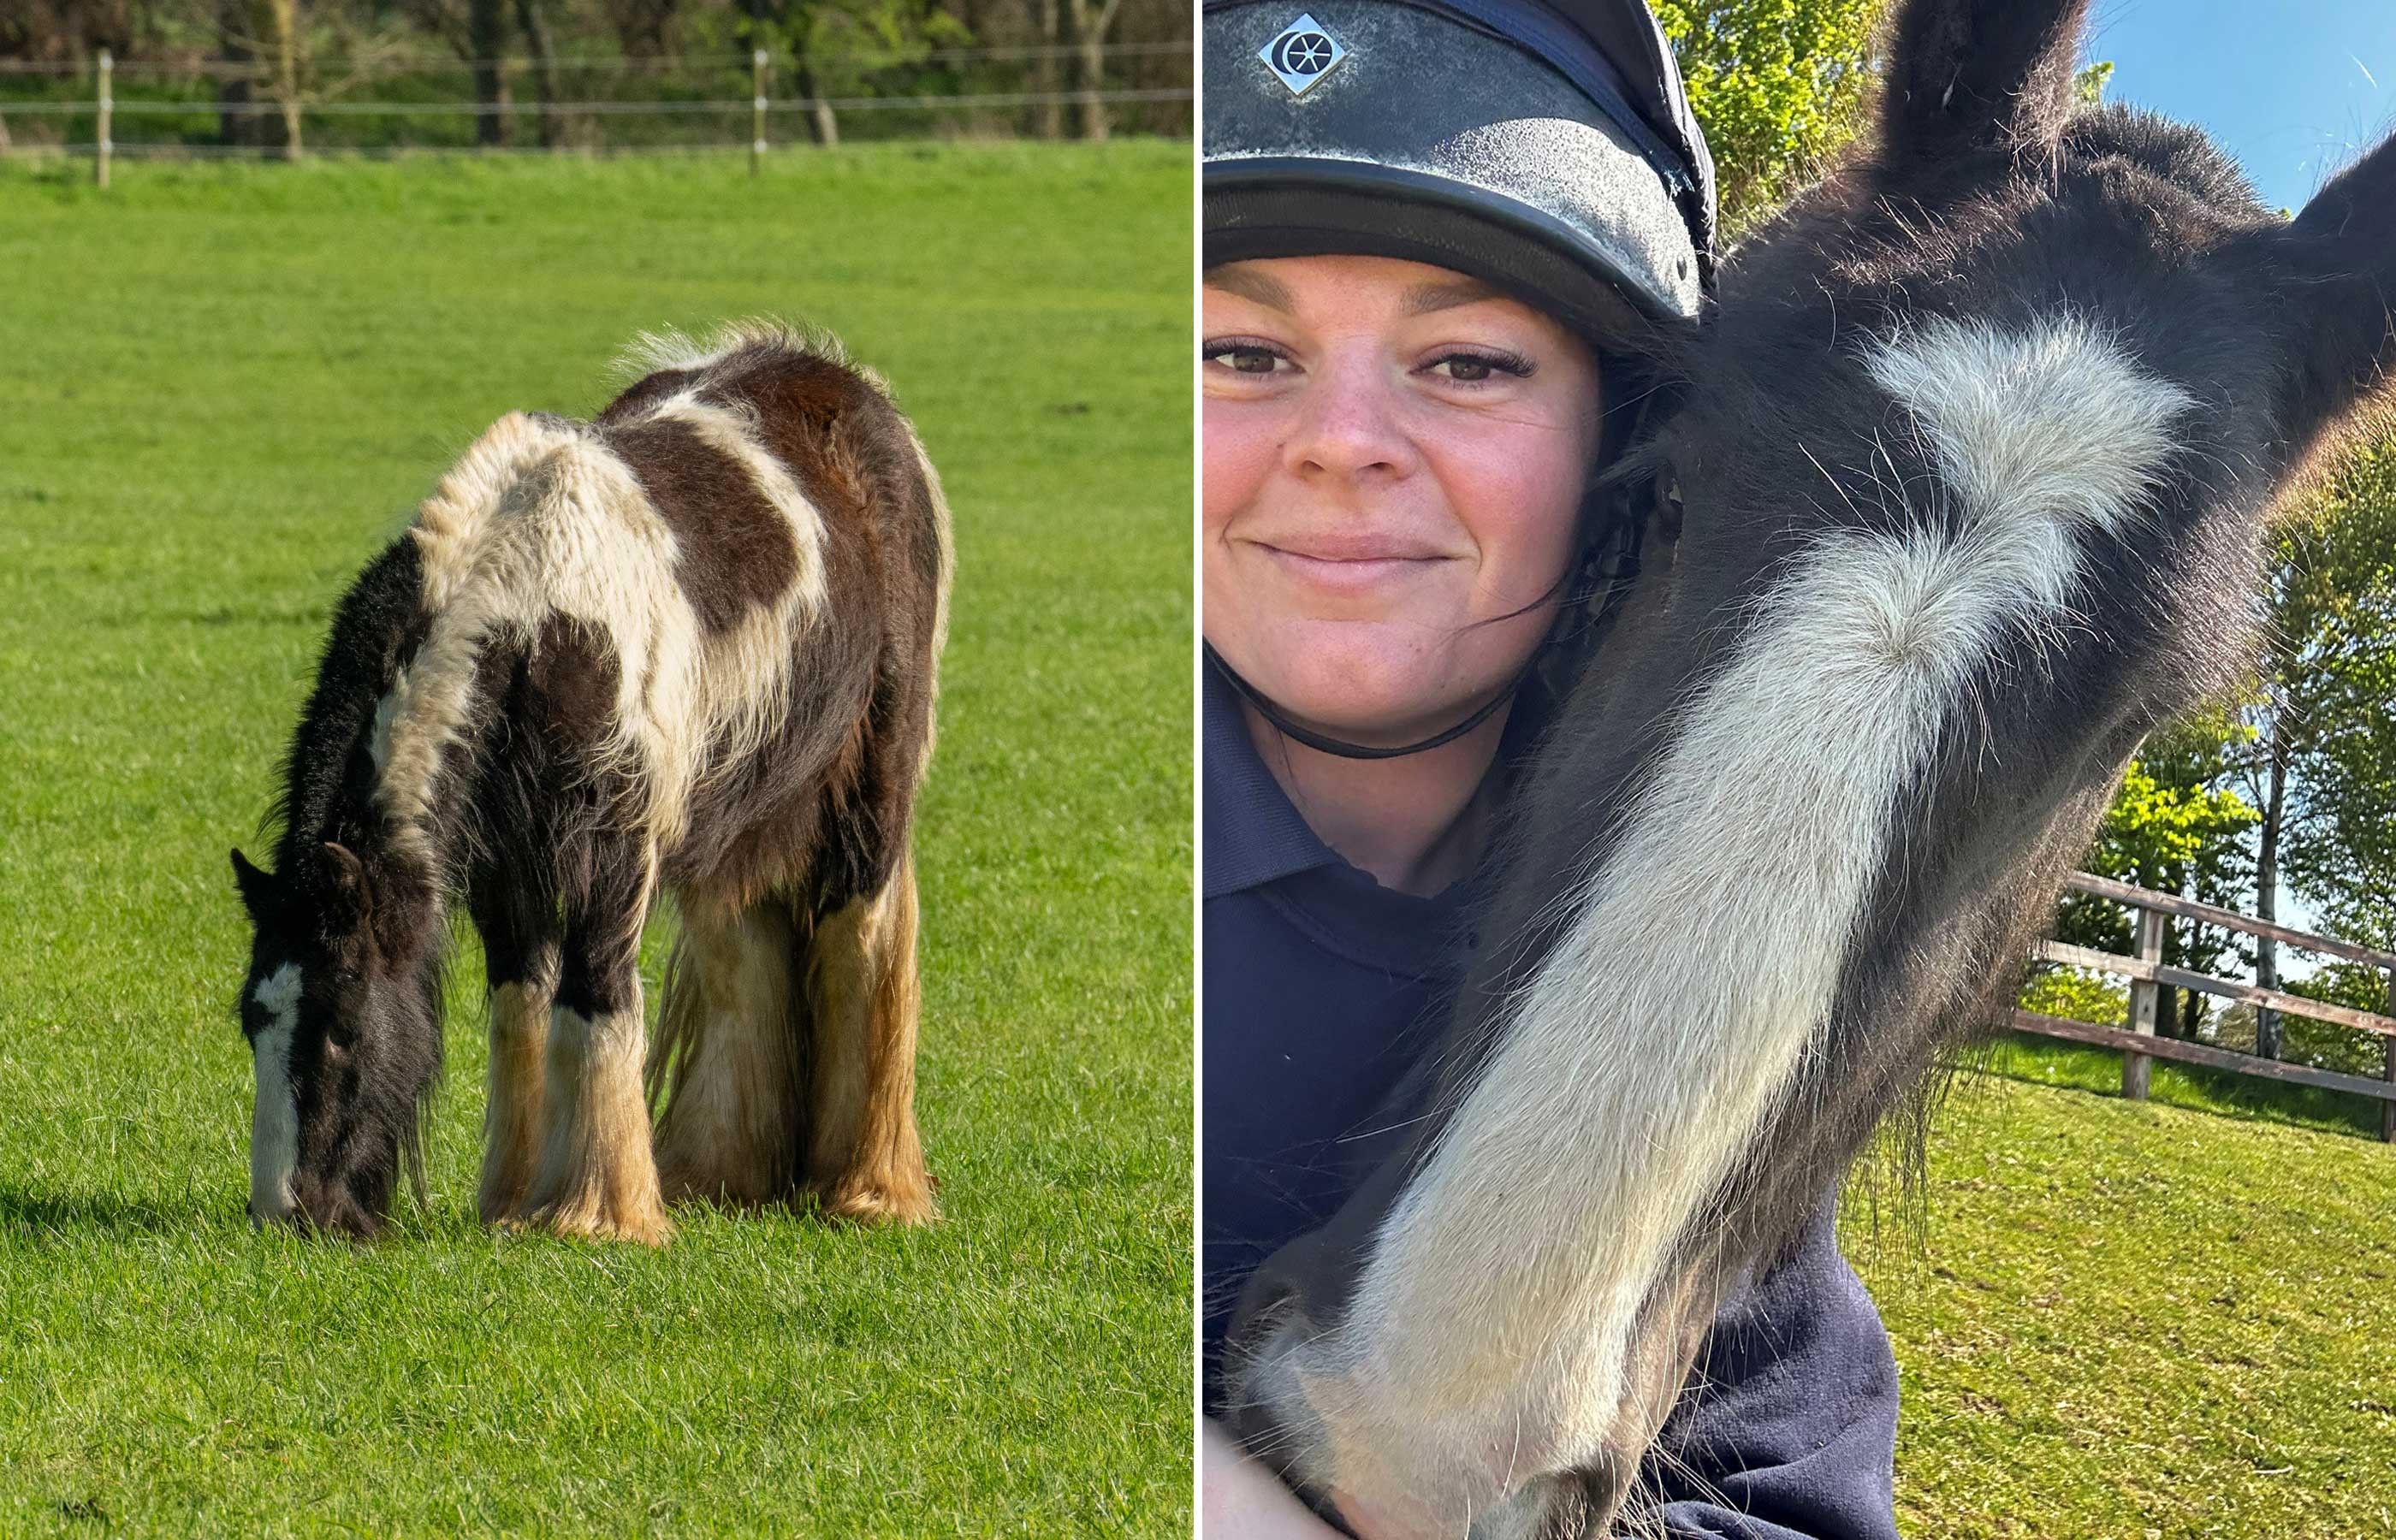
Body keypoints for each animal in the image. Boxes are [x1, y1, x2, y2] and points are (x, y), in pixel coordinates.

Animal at [229, 323, 952, 1245]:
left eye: (344, 1027)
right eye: (252, 1020)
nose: (289, 1214)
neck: (540, 626)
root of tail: (841, 382)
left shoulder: (612, 851)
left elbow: (594, 998)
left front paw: (600, 1215)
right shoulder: (506, 866)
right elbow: (521, 1006)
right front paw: (512, 1201)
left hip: (871, 793)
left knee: (860, 936)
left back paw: (868, 1188)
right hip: (735, 824)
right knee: (744, 954)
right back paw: (727, 1177)